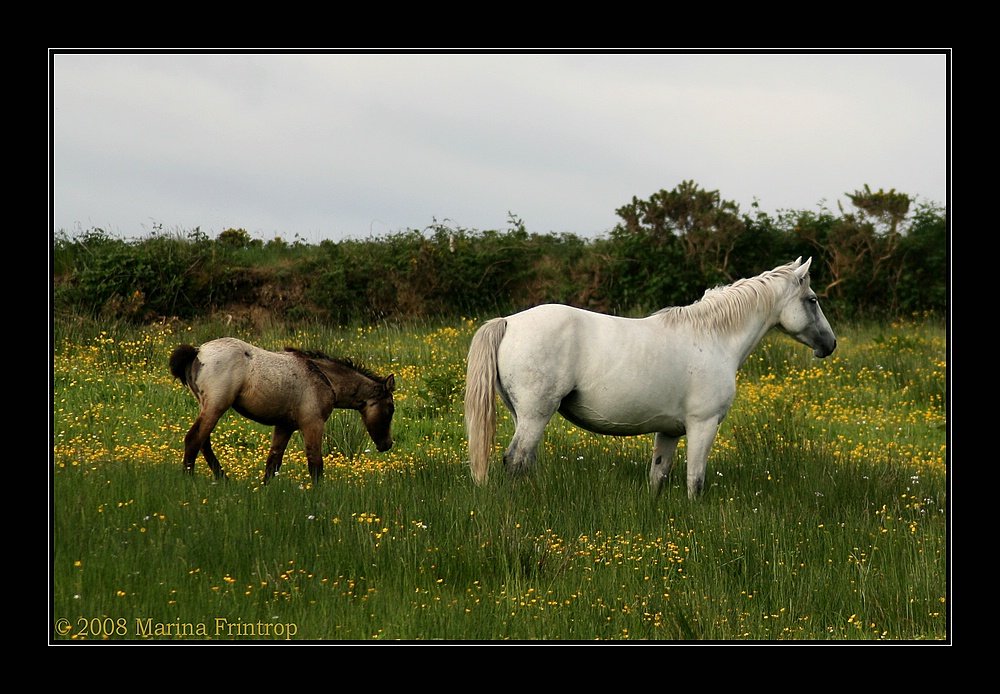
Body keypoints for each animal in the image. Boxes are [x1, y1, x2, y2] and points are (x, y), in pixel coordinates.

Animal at [466, 258, 836, 498]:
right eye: (813, 300)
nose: (829, 344)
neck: (714, 337)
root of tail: (509, 321)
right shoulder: (703, 425)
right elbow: (695, 481)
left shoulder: (669, 431)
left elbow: (658, 475)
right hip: (535, 414)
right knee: (515, 460)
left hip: (525, 415)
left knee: (525, 461)